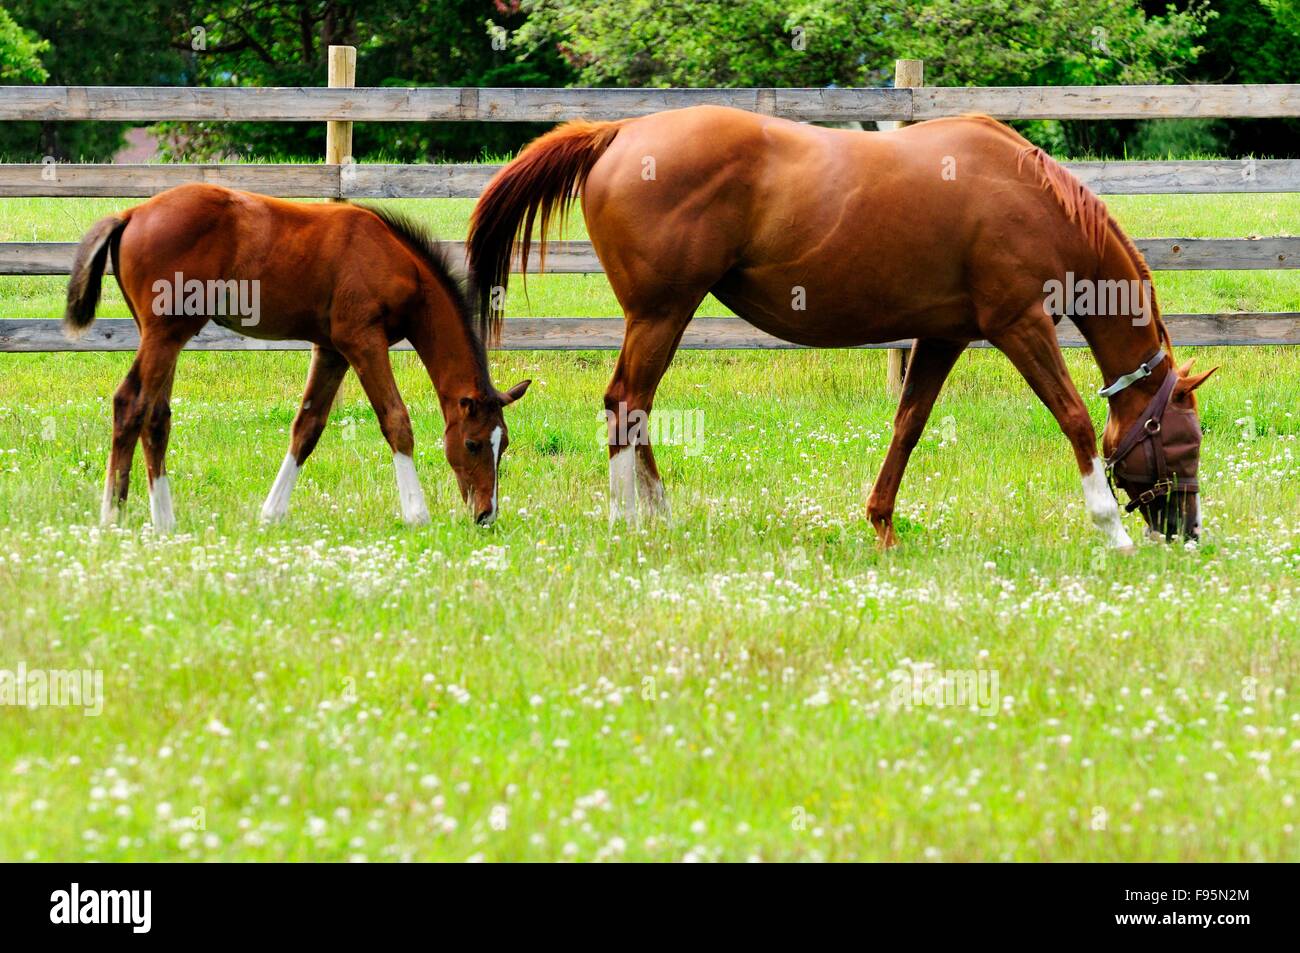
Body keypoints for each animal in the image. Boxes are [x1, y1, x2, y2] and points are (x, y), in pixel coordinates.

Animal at [63, 182, 530, 530]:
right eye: (471, 444)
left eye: (503, 444)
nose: (485, 515)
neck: (396, 260)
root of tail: (132, 214)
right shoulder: (363, 340)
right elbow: (396, 420)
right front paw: (417, 514)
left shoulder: (332, 349)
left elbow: (308, 427)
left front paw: (271, 513)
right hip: (165, 332)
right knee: (130, 403)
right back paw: (112, 517)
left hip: (165, 334)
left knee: (156, 416)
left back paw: (164, 522)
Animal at [470, 105, 1216, 546]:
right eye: (1185, 442)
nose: (1187, 532)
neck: (1030, 197)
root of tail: (620, 132)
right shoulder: (1020, 325)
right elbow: (1075, 419)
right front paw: (1111, 530)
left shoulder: (943, 336)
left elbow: (908, 426)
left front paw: (882, 526)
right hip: (661, 314)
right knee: (627, 402)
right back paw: (635, 522)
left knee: (635, 405)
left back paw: (655, 515)